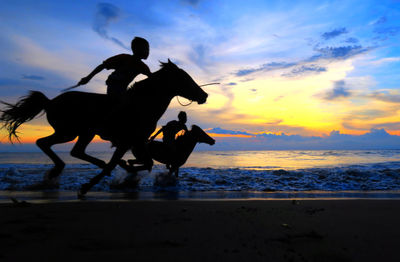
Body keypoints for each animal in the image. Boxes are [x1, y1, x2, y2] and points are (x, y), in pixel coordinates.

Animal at [1, 59, 209, 196]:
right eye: (185, 78)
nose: (204, 95)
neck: (142, 105)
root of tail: (50, 102)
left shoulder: (137, 142)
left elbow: (146, 163)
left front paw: (125, 167)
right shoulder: (128, 142)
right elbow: (122, 162)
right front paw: (87, 186)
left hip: (74, 133)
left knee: (57, 146)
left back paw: (60, 168)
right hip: (73, 132)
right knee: (59, 147)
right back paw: (64, 168)